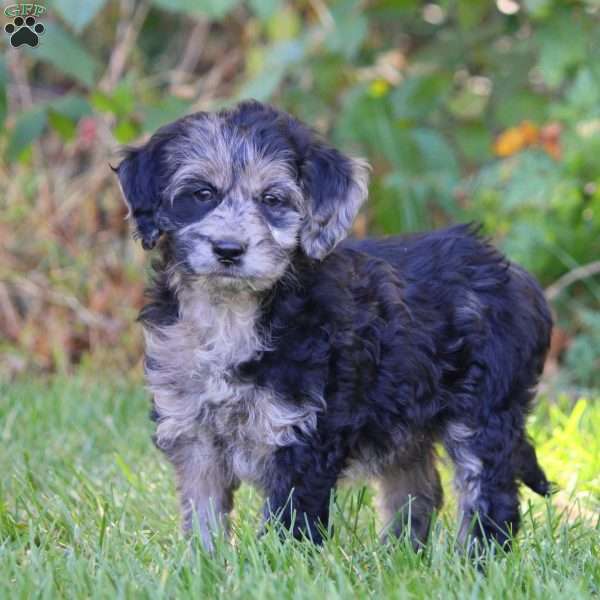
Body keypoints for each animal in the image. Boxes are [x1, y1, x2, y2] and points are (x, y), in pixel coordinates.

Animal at [115, 101, 556, 552]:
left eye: (272, 200)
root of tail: (515, 275)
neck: (231, 312)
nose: (228, 250)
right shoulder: (194, 430)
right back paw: (397, 554)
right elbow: (203, 512)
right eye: (202, 194)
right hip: (404, 417)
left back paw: (476, 557)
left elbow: (291, 519)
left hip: (484, 409)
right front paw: (206, 560)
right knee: (416, 488)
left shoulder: (301, 434)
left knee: (490, 494)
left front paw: (281, 562)